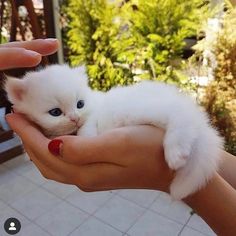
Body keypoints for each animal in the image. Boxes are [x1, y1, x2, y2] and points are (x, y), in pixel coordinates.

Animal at [4, 64, 224, 199]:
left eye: (80, 104)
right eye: (55, 112)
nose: (75, 117)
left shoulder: (92, 118)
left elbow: (87, 129)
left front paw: (85, 134)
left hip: (145, 110)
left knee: (179, 115)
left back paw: (176, 151)